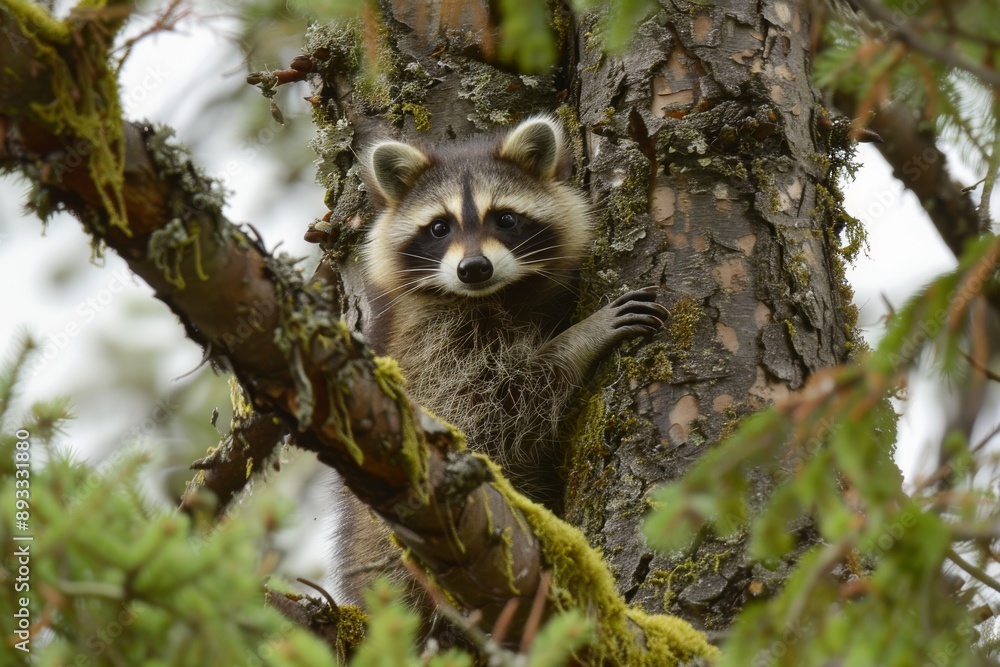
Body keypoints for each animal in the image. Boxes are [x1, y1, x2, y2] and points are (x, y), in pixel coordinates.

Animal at [333, 116, 666, 603]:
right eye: (439, 227)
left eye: (505, 218)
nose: (474, 268)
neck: (494, 295)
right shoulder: (434, 345)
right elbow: (501, 399)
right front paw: (582, 337)